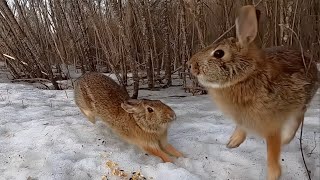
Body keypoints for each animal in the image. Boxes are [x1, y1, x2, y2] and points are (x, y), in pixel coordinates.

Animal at [188, 4, 318, 179]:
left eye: (219, 53)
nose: (190, 65)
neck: (246, 76)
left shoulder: (271, 124)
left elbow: (272, 153)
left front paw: (273, 175)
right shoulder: (244, 118)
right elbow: (241, 128)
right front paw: (231, 144)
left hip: (301, 103)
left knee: (297, 119)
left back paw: (286, 139)